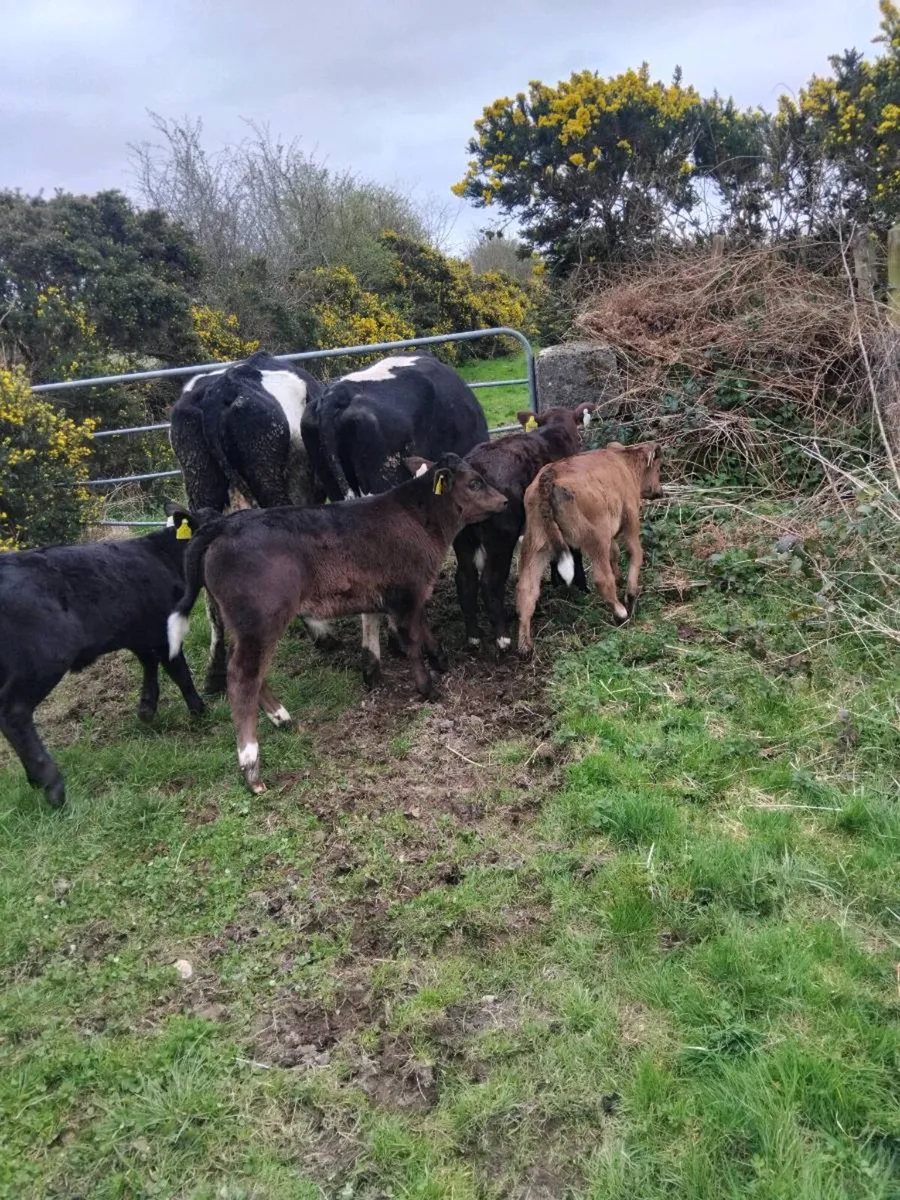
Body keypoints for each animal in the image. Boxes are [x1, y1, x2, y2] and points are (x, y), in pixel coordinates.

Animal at [0, 503, 210, 809]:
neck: (163, 556)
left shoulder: (139, 632)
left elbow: (149, 664)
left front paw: (147, 708)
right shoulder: (164, 630)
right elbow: (178, 670)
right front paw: (199, 711)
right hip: (43, 658)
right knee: (14, 712)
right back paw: (52, 785)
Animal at [167, 454, 507, 794]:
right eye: (474, 483)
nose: (504, 500)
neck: (417, 518)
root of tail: (223, 525)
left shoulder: (399, 592)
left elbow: (409, 625)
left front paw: (430, 660)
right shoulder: (406, 591)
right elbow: (411, 638)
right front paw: (427, 687)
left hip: (243, 626)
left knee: (247, 671)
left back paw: (283, 719)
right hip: (260, 621)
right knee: (242, 677)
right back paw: (252, 768)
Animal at [516, 442, 664, 657]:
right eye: (659, 468)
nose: (660, 492)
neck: (623, 461)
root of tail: (549, 476)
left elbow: (615, 552)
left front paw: (619, 577)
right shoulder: (630, 516)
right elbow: (635, 552)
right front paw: (631, 593)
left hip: (536, 544)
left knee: (526, 589)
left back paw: (524, 644)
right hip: (595, 536)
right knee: (602, 579)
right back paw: (620, 612)